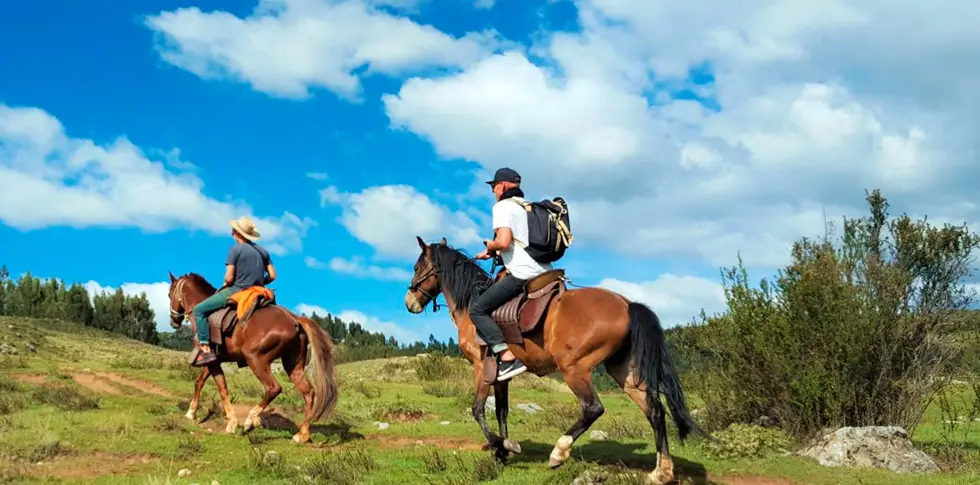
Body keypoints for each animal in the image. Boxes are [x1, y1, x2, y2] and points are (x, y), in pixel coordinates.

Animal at [166, 271, 338, 443]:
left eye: (169, 294)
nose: (173, 322)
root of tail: (295, 319)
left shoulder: (212, 360)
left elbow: (222, 388)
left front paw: (232, 422)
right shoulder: (214, 360)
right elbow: (200, 382)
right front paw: (191, 412)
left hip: (256, 359)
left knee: (273, 388)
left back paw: (250, 421)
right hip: (293, 365)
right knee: (309, 392)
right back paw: (302, 434)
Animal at [404, 237, 706, 484]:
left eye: (418, 267)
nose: (409, 302)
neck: (471, 304)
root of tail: (626, 304)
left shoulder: (481, 369)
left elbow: (477, 410)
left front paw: (501, 446)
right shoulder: (500, 375)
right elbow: (501, 411)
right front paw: (504, 449)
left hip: (574, 369)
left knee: (593, 408)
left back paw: (559, 452)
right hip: (624, 372)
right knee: (654, 411)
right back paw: (661, 472)